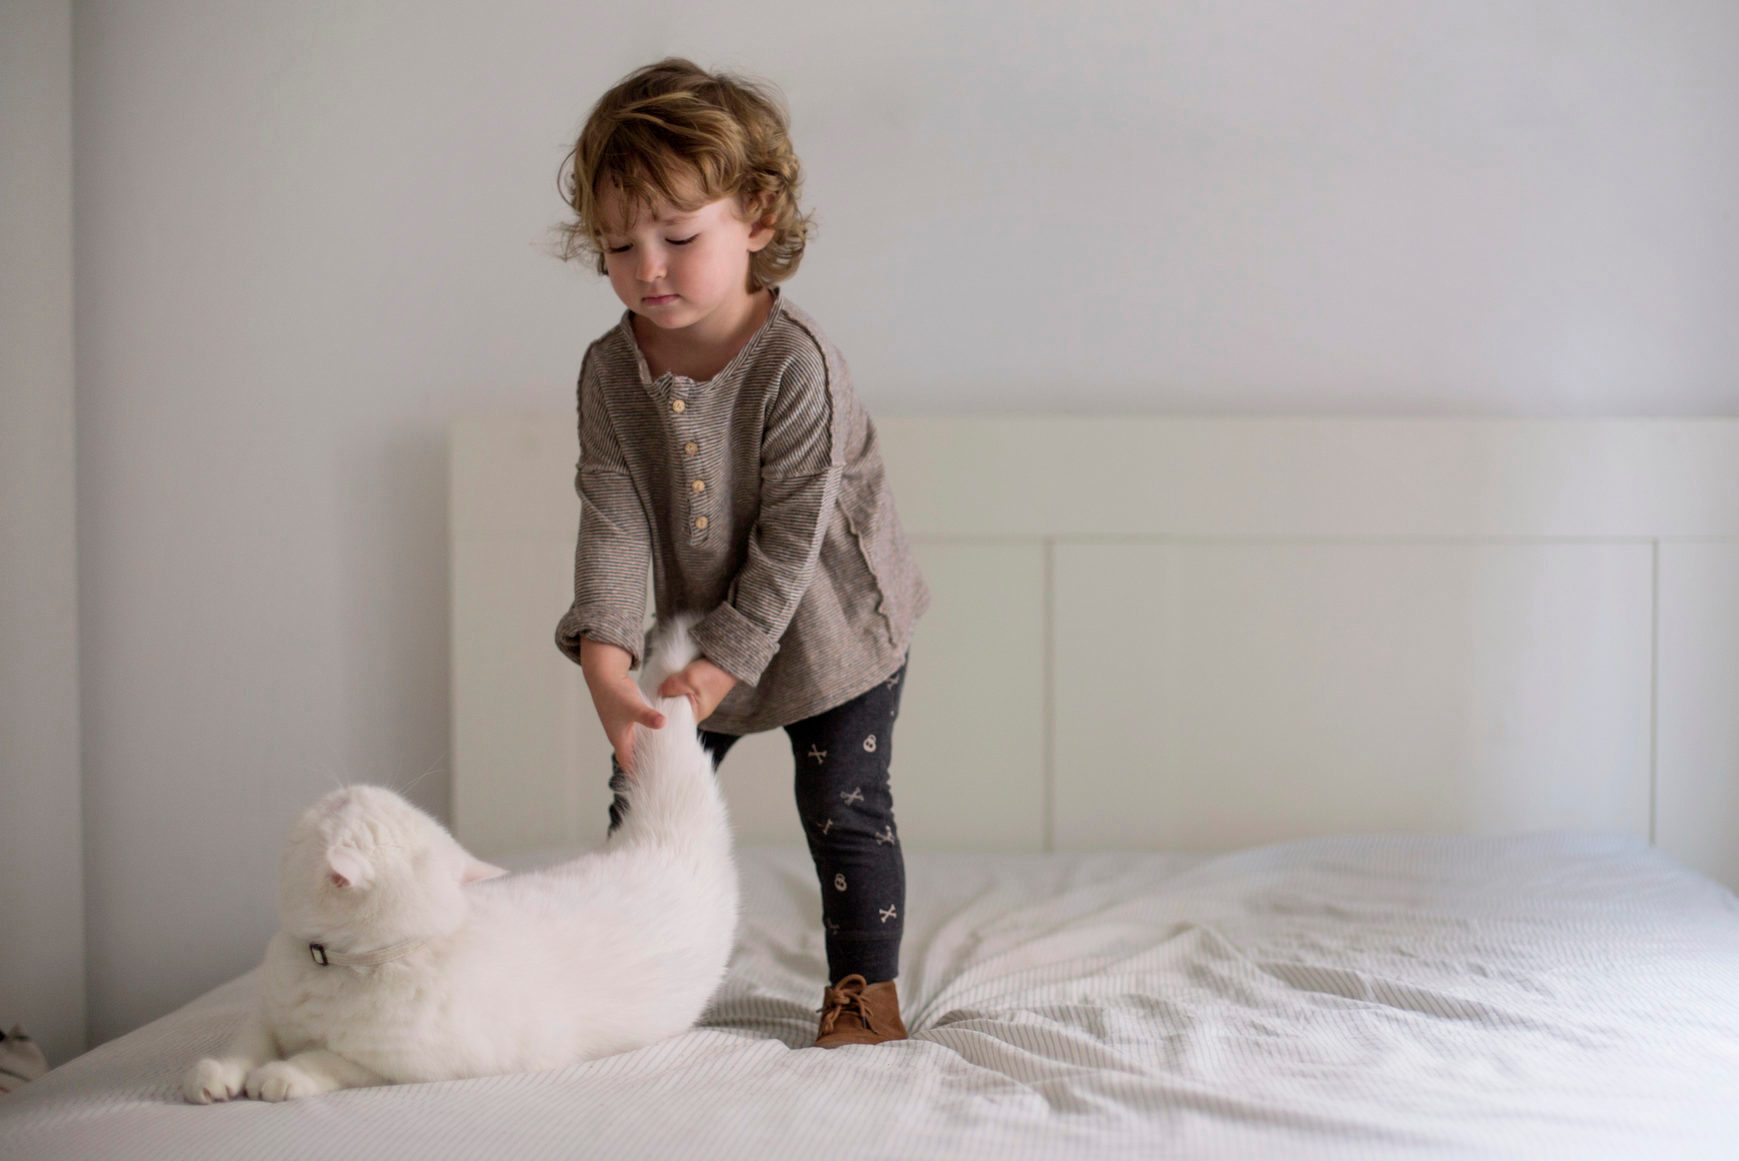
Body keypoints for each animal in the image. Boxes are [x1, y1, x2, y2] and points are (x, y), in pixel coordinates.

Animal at [179, 622, 737, 1105]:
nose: (347, 787)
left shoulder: (406, 1065)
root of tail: (655, 840)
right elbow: (248, 1038)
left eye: (339, 808)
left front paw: (282, 1076)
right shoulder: (266, 1013)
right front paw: (216, 1074)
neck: (333, 965)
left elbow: (331, 1060)